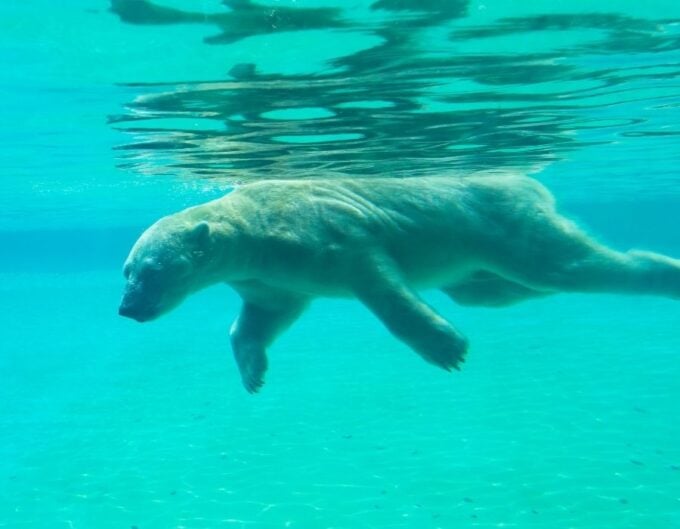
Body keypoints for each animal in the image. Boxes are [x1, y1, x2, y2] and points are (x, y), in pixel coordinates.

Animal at [119, 175, 680, 393]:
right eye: (127, 272)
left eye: (151, 271)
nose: (127, 310)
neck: (252, 227)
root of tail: (527, 181)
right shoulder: (270, 276)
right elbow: (265, 316)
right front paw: (253, 372)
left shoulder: (325, 235)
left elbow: (379, 284)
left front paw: (446, 348)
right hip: (479, 264)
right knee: (495, 289)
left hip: (499, 223)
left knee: (564, 265)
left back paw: (663, 270)